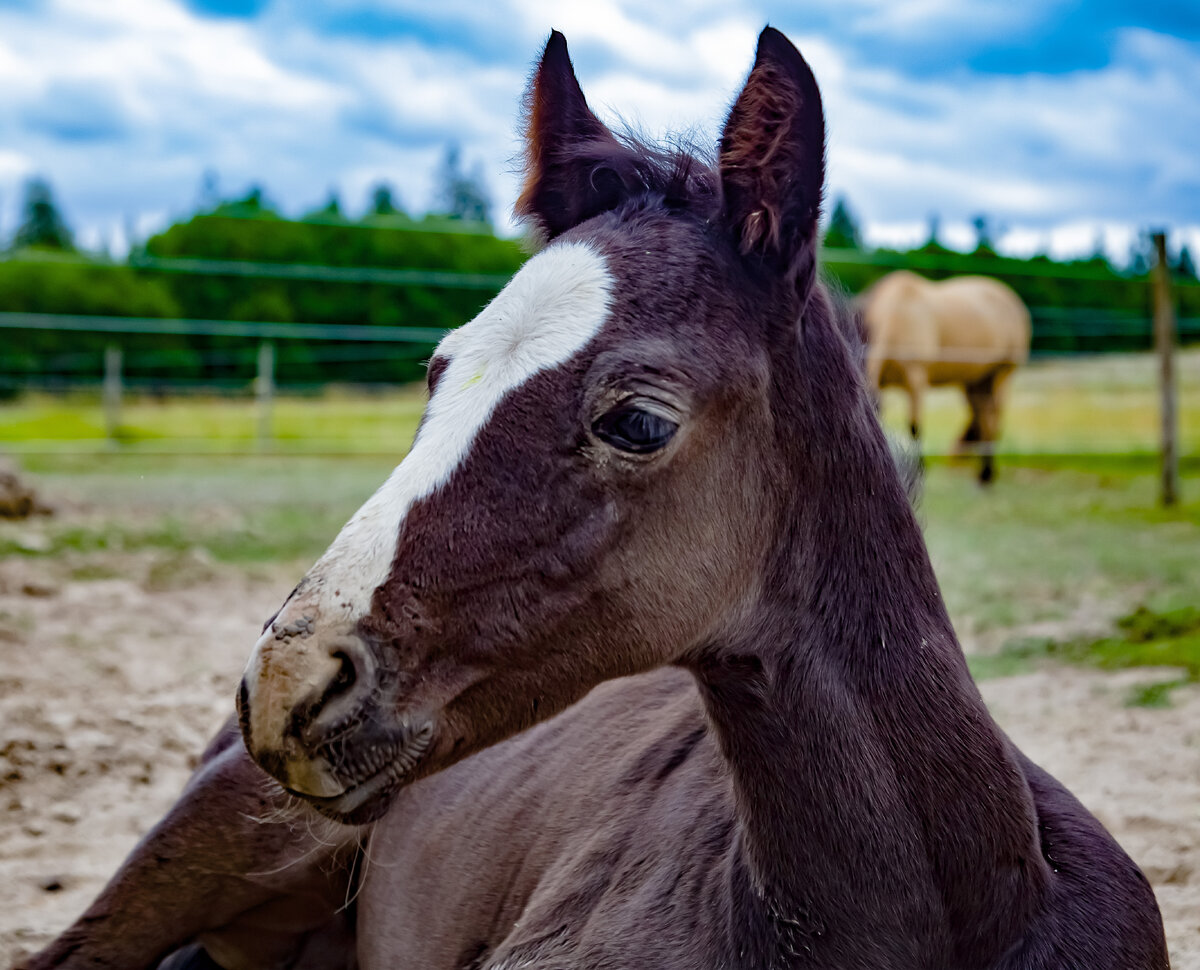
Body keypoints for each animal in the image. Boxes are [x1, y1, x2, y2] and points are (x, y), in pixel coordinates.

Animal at [858, 270, 1031, 483]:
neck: (895, 314)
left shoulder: (916, 378)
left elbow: (915, 426)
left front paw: (920, 469)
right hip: (976, 382)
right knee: (983, 418)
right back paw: (984, 472)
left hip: (1002, 373)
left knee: (993, 418)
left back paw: (987, 473)